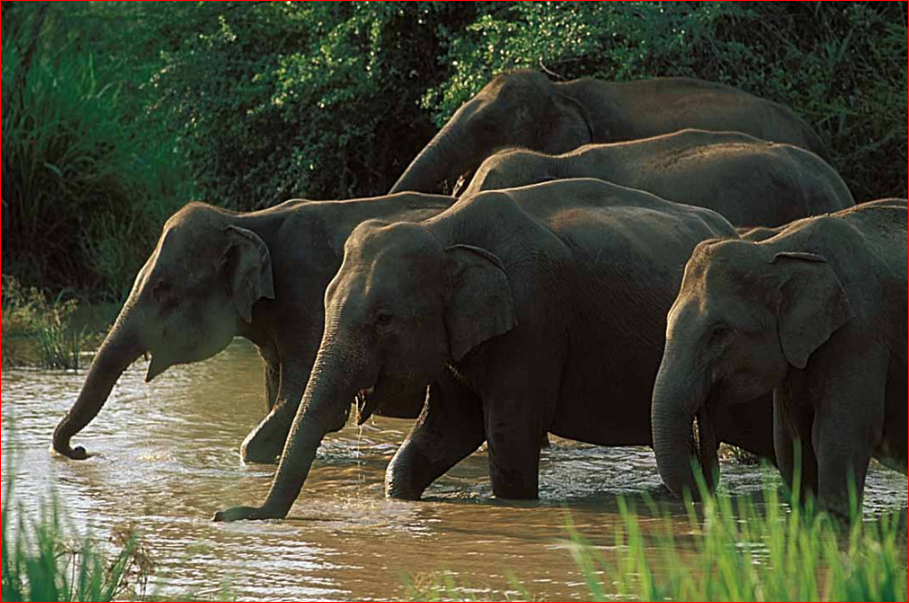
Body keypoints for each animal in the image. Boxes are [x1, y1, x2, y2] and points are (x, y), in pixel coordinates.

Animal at [51, 193, 455, 464]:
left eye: (162, 289)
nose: (81, 450)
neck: (245, 219)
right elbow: (278, 396)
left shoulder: (308, 299)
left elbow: (295, 397)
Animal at [213, 178, 777, 522]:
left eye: (383, 320)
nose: (225, 514)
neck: (442, 229)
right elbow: (442, 432)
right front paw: (403, 495)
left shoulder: (534, 319)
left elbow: (507, 439)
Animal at [651, 199, 907, 518]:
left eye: (719, 332)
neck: (775, 248)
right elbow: (790, 438)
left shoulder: (862, 332)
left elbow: (840, 435)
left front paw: (836, 522)